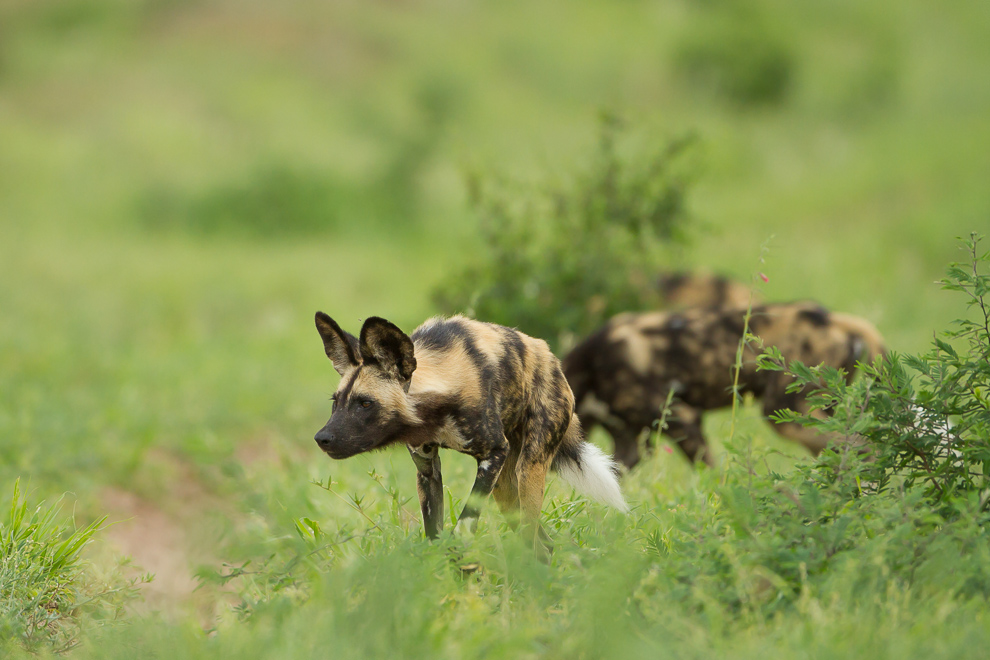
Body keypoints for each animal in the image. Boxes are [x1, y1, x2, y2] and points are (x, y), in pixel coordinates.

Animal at [314, 314, 632, 552]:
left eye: (365, 403)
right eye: (335, 402)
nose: (322, 439)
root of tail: (552, 360)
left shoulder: (494, 454)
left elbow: (464, 526)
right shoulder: (427, 470)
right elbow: (434, 534)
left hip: (527, 470)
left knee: (535, 538)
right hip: (504, 488)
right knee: (542, 542)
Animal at [564, 302, 892, 470]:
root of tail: (834, 318)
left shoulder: (683, 419)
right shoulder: (629, 443)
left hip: (787, 413)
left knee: (864, 447)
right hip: (817, 415)